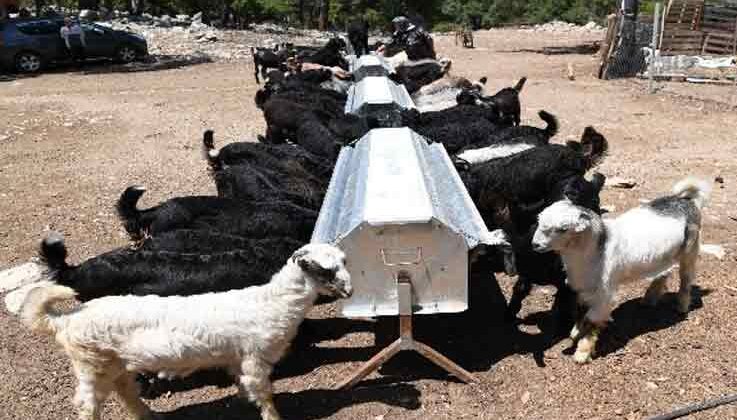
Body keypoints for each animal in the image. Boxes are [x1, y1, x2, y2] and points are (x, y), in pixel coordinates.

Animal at [20, 243, 354, 420]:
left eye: (344, 261)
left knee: (125, 389)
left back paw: (148, 415)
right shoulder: (254, 359)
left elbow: (245, 388)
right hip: (90, 365)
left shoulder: (238, 360)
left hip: (113, 363)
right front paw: (273, 416)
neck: (271, 302)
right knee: (88, 405)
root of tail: (66, 320)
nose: (349, 291)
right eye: (325, 270)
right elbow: (265, 394)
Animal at [532, 177, 712, 364]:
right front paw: (575, 333)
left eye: (563, 229)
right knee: (664, 272)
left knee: (686, 278)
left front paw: (582, 353)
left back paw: (682, 306)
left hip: (690, 250)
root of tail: (686, 201)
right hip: (664, 257)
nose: (535, 244)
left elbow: (591, 320)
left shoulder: (605, 295)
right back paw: (649, 299)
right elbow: (581, 310)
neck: (598, 249)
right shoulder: (584, 287)